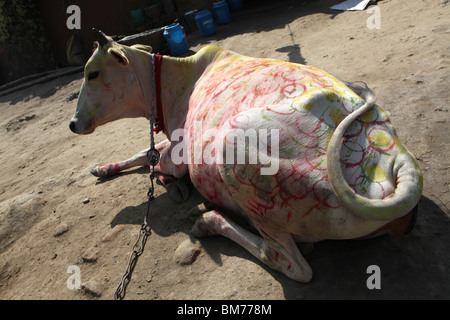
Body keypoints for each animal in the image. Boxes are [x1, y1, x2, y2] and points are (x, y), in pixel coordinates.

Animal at [69, 28, 422, 282]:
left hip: (236, 157)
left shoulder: (180, 156)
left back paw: (208, 220)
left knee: (291, 263)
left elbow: (149, 155)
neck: (174, 82)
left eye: (92, 73)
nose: (72, 124)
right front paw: (103, 168)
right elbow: (145, 153)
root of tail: (398, 157)